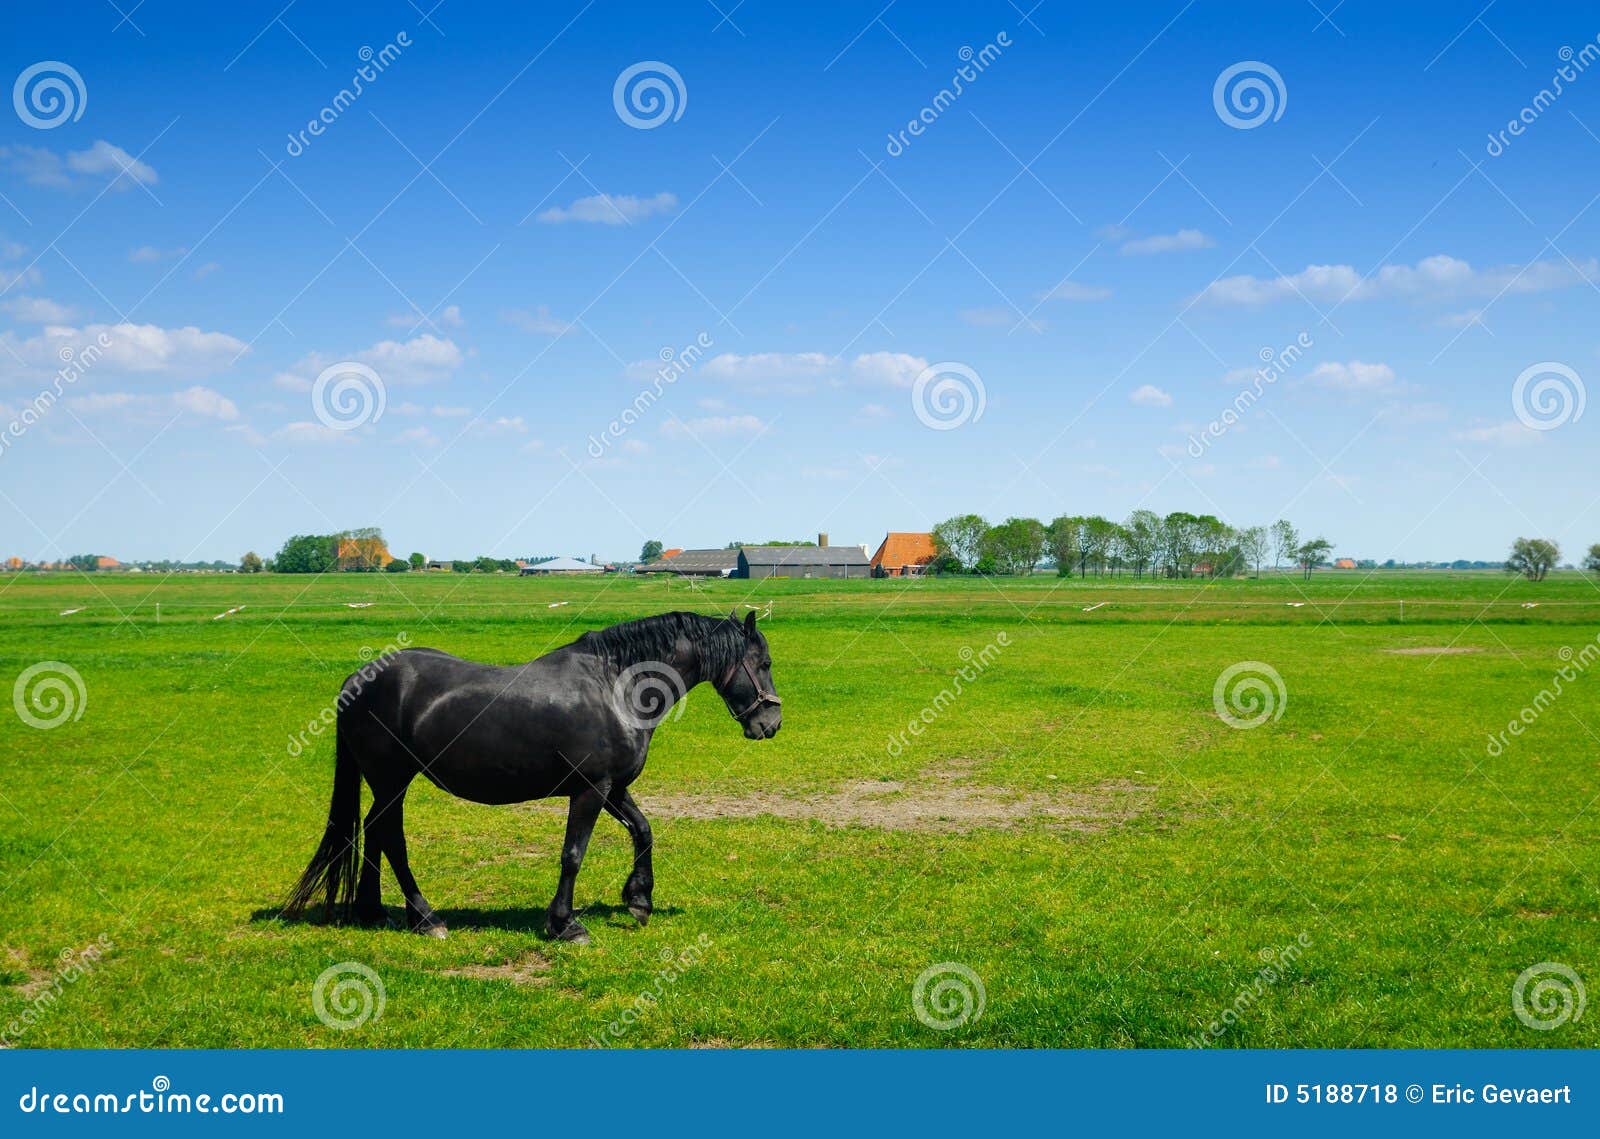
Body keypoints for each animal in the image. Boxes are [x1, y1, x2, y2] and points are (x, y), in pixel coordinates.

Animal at [283, 609, 781, 944]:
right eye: (765, 663)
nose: (771, 723)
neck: (614, 687)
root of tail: (357, 679)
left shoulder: (613, 787)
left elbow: (643, 830)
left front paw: (639, 900)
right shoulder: (590, 789)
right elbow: (573, 855)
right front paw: (565, 925)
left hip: (387, 783)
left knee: (373, 830)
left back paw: (372, 912)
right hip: (392, 779)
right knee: (389, 835)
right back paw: (426, 919)